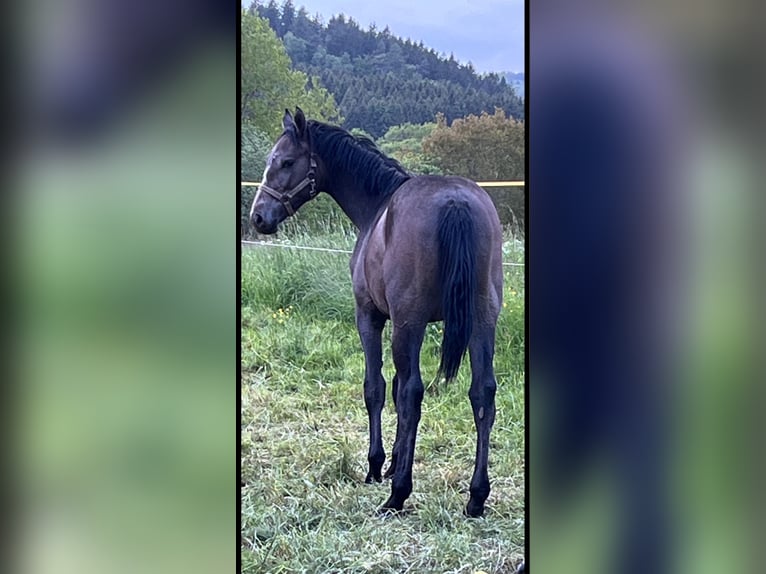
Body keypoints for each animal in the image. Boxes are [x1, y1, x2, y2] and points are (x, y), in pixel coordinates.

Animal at [249, 107, 508, 516]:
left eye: (285, 161)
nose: (259, 217)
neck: (377, 209)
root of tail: (455, 203)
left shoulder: (371, 317)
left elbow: (378, 388)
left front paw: (377, 466)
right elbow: (399, 388)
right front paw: (392, 463)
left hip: (410, 322)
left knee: (414, 393)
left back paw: (399, 494)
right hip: (482, 321)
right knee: (482, 393)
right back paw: (476, 497)